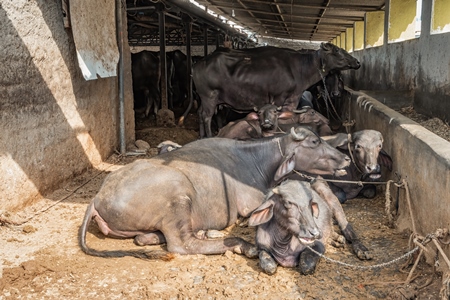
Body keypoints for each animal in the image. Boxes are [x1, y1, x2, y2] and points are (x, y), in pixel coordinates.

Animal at [79, 126, 350, 260]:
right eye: (314, 142)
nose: (346, 158)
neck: (258, 161)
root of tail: (97, 197)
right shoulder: (251, 204)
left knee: (144, 238)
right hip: (178, 192)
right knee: (181, 244)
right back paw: (241, 245)